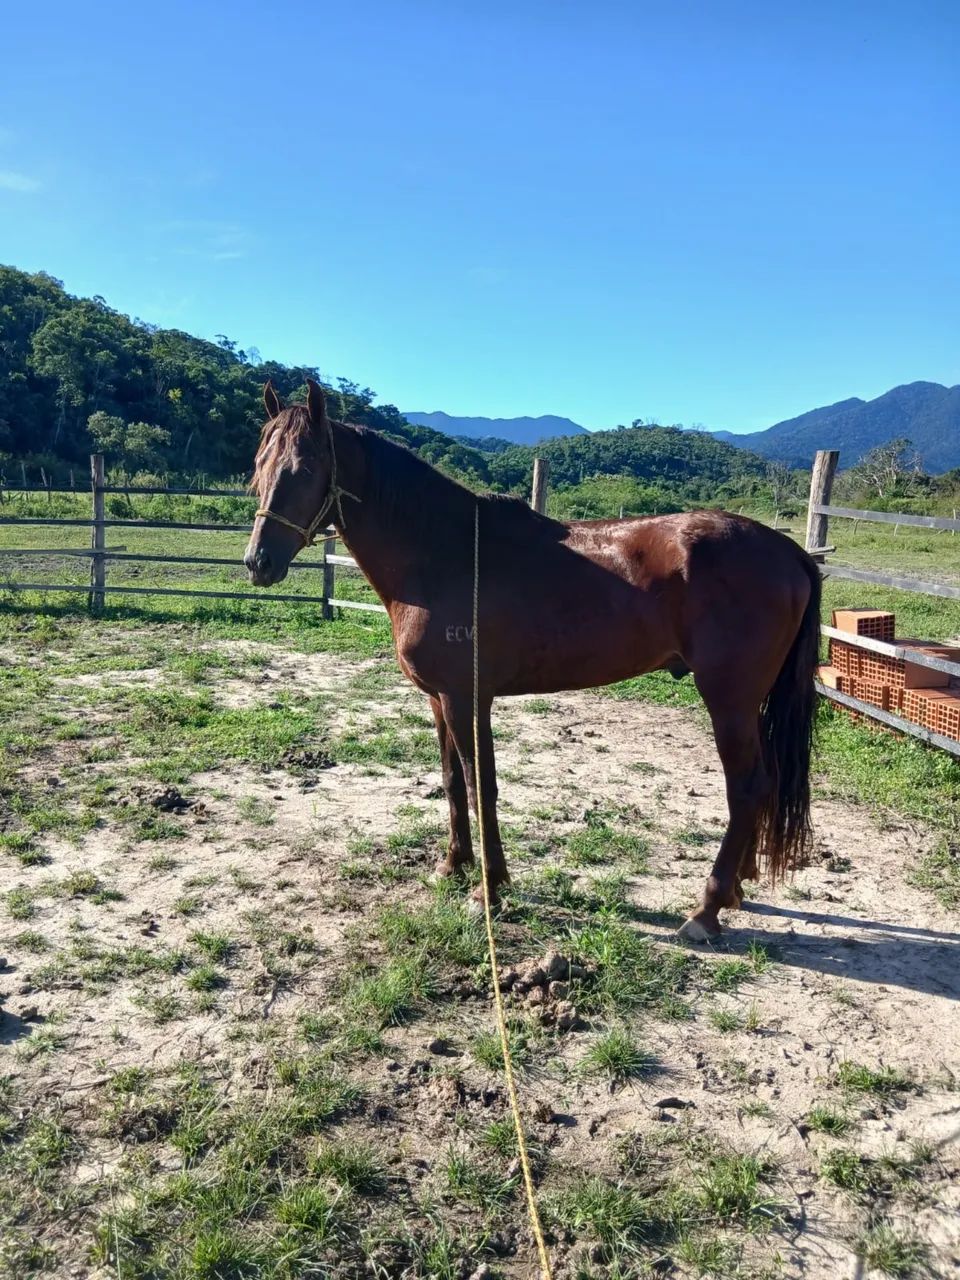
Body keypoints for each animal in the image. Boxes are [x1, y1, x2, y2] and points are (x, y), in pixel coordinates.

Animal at [245, 379, 821, 942]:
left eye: (304, 469)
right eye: (258, 465)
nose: (258, 562)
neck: (447, 554)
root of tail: (790, 552)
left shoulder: (466, 698)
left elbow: (481, 786)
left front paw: (489, 891)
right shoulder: (439, 699)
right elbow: (453, 782)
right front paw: (451, 867)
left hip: (728, 699)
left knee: (747, 786)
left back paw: (707, 910)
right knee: (763, 782)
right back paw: (738, 887)